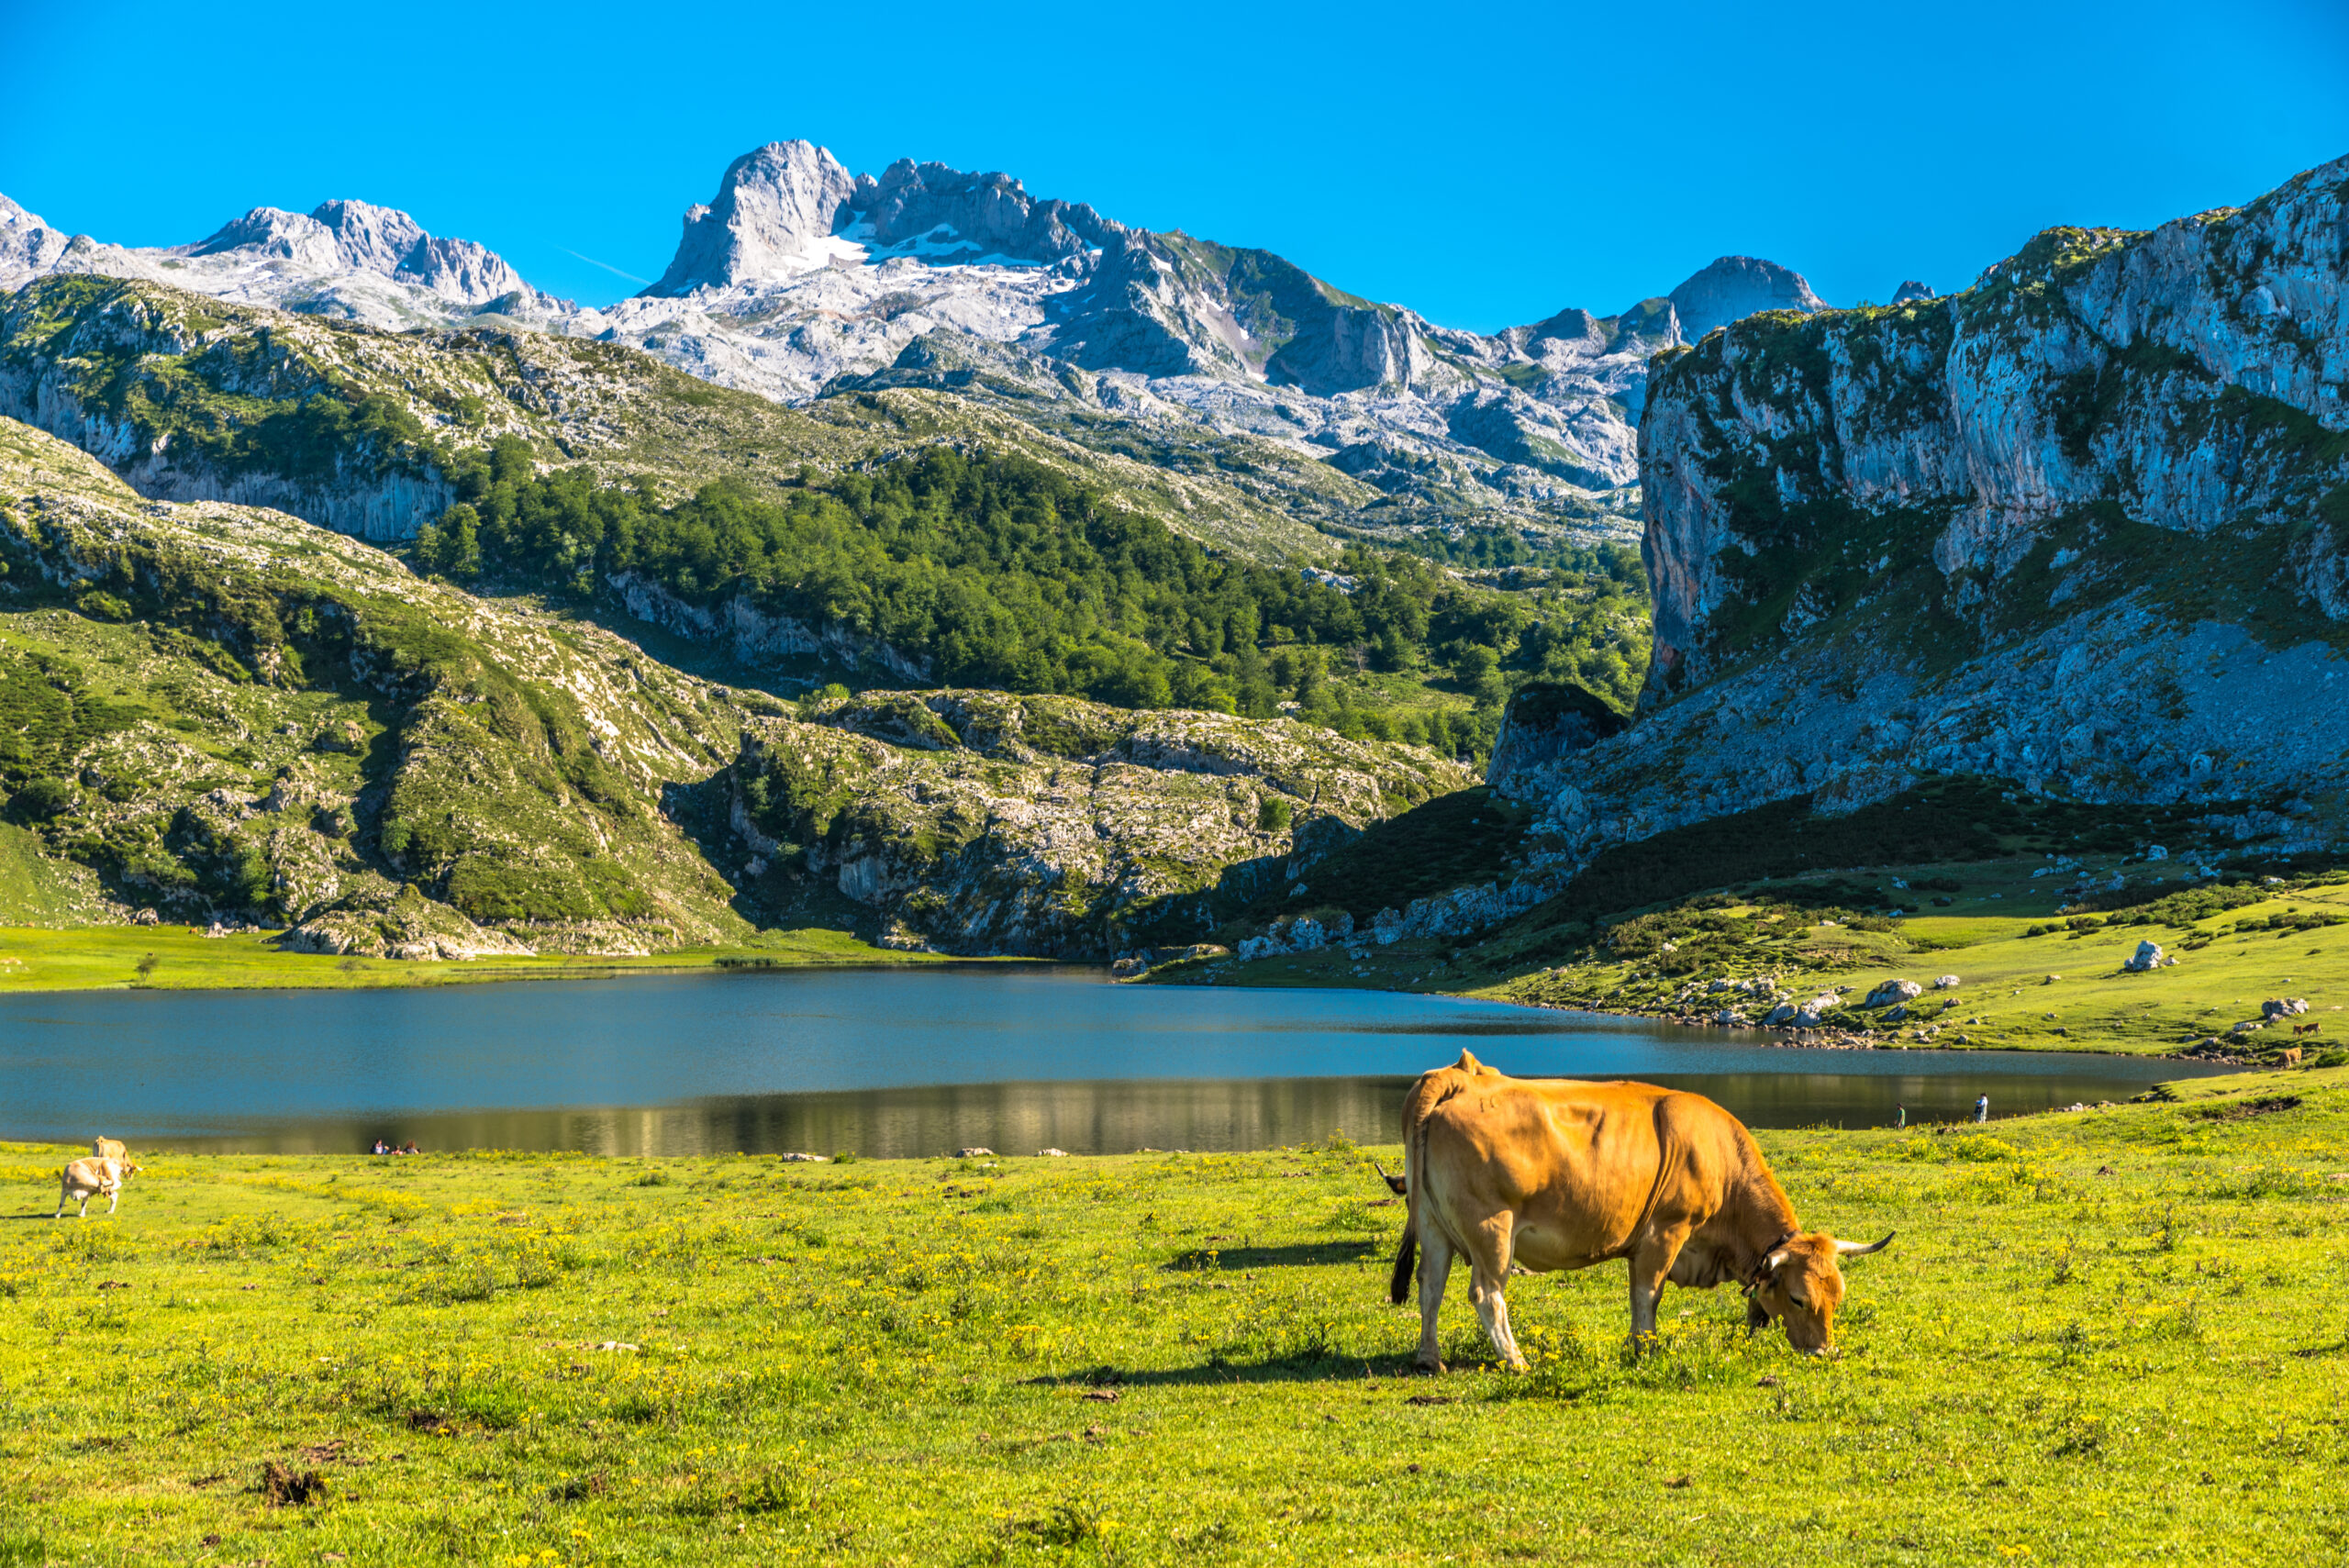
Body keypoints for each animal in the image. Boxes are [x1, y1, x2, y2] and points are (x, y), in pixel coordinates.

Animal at [1372, 1051, 1888, 1371]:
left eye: (1838, 1297)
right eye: (1799, 1298)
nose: (1824, 1353)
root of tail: (1455, 1078)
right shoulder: (1666, 1232)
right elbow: (1648, 1296)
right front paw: (1644, 1350)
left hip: (1434, 1225)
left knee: (1430, 1285)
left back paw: (1429, 1359)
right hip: (1492, 1228)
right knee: (1486, 1293)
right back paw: (1516, 1361)